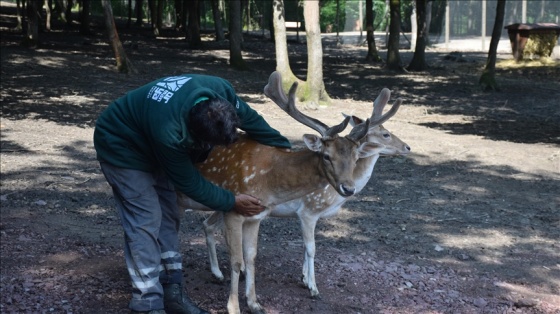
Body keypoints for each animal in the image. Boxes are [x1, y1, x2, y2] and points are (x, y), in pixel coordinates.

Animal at [176, 72, 390, 314]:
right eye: (327, 156)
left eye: (355, 158)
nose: (348, 188)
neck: (268, 182)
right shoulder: (234, 211)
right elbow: (237, 260)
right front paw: (234, 307)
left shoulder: (256, 216)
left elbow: (251, 257)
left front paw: (255, 303)